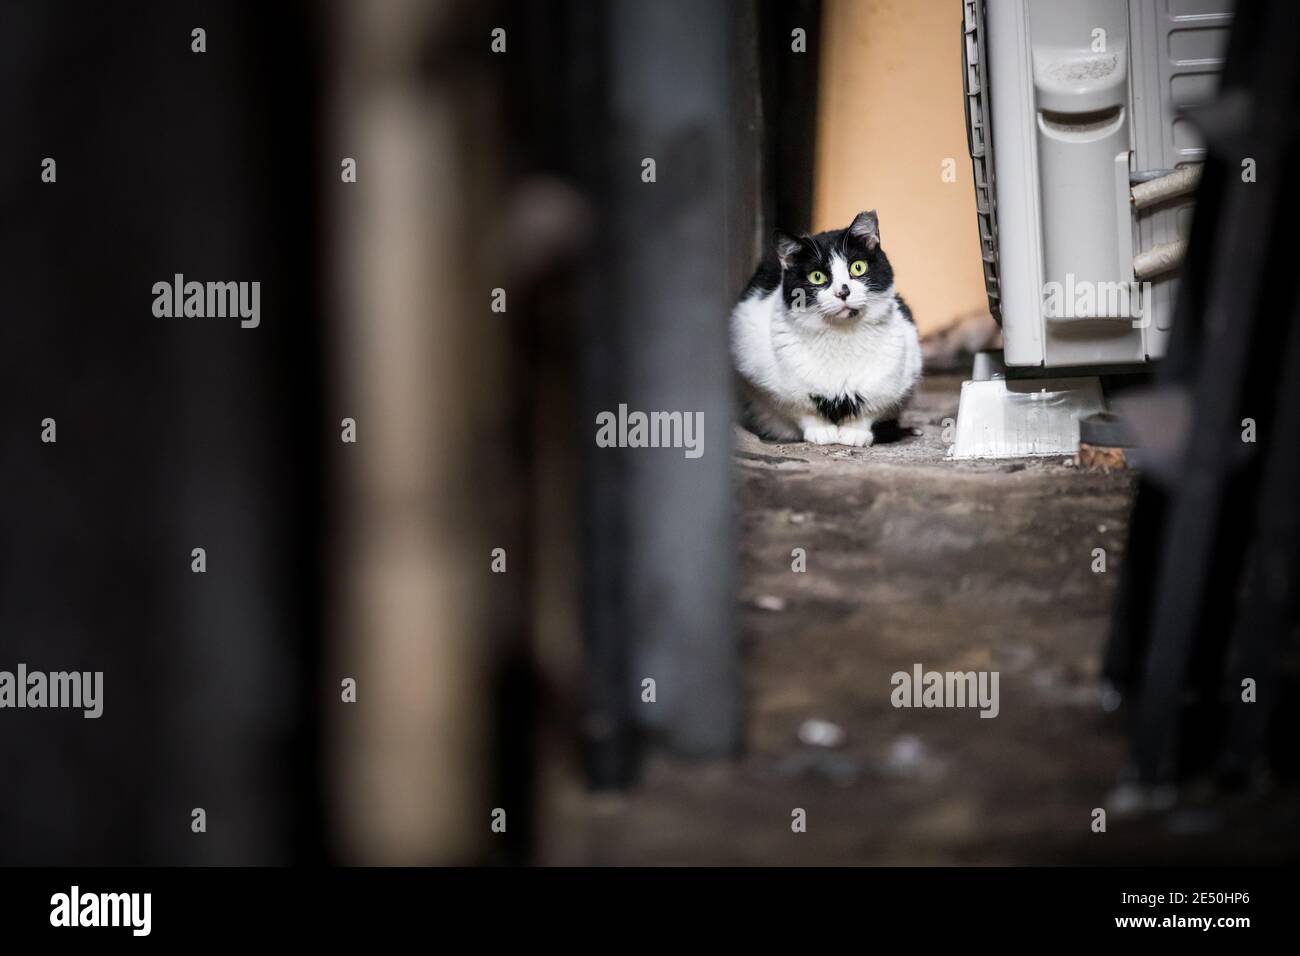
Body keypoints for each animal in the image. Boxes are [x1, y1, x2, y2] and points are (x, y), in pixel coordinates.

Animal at [733, 209, 925, 444]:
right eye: (817, 276)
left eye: (858, 267)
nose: (843, 291)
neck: (841, 338)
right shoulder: (764, 381)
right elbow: (802, 409)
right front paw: (821, 431)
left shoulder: (898, 378)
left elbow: (870, 409)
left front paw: (856, 433)